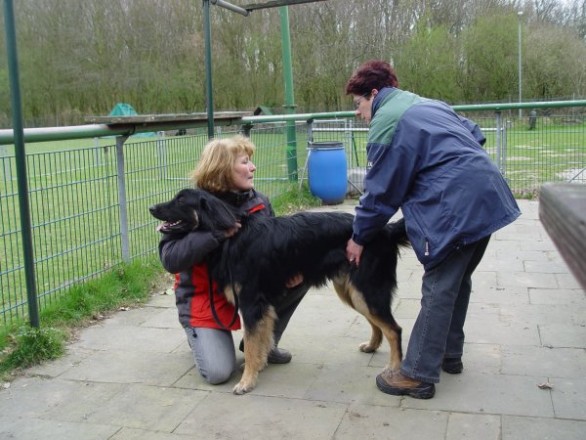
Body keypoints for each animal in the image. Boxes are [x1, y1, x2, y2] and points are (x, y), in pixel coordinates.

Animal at [148, 189, 408, 396]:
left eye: (181, 200)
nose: (151, 207)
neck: (231, 238)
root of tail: (385, 229)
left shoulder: (251, 304)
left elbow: (251, 343)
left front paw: (247, 381)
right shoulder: (262, 307)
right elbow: (261, 340)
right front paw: (259, 367)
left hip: (366, 290)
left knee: (394, 329)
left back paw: (394, 370)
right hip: (352, 292)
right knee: (378, 323)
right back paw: (372, 346)